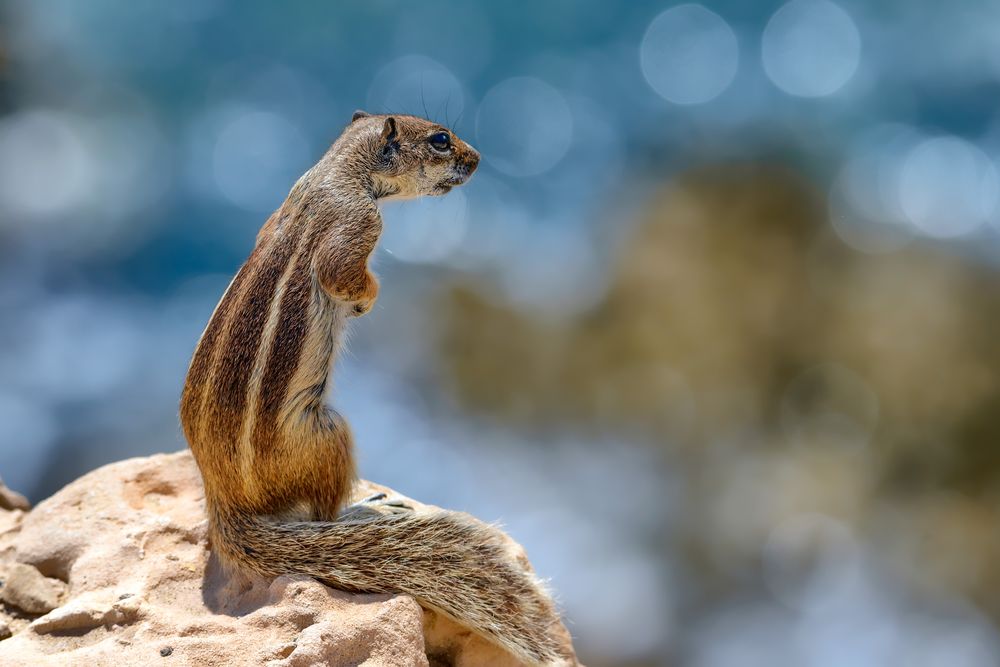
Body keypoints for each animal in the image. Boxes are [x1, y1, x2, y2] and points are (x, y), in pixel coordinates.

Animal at [178, 112, 572, 664]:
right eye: (441, 140)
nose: (477, 159)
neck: (337, 168)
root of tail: (222, 500)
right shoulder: (358, 224)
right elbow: (342, 275)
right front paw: (367, 300)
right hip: (328, 432)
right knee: (323, 510)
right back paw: (365, 507)